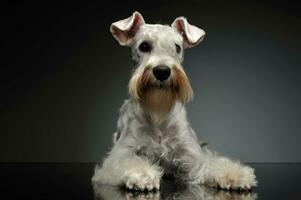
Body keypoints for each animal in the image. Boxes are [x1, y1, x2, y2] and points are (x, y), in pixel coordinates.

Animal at [91, 11, 255, 192]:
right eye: (144, 46)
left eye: (177, 47)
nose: (162, 71)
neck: (158, 113)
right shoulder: (120, 154)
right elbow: (129, 162)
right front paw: (142, 175)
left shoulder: (193, 154)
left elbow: (211, 162)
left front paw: (235, 174)